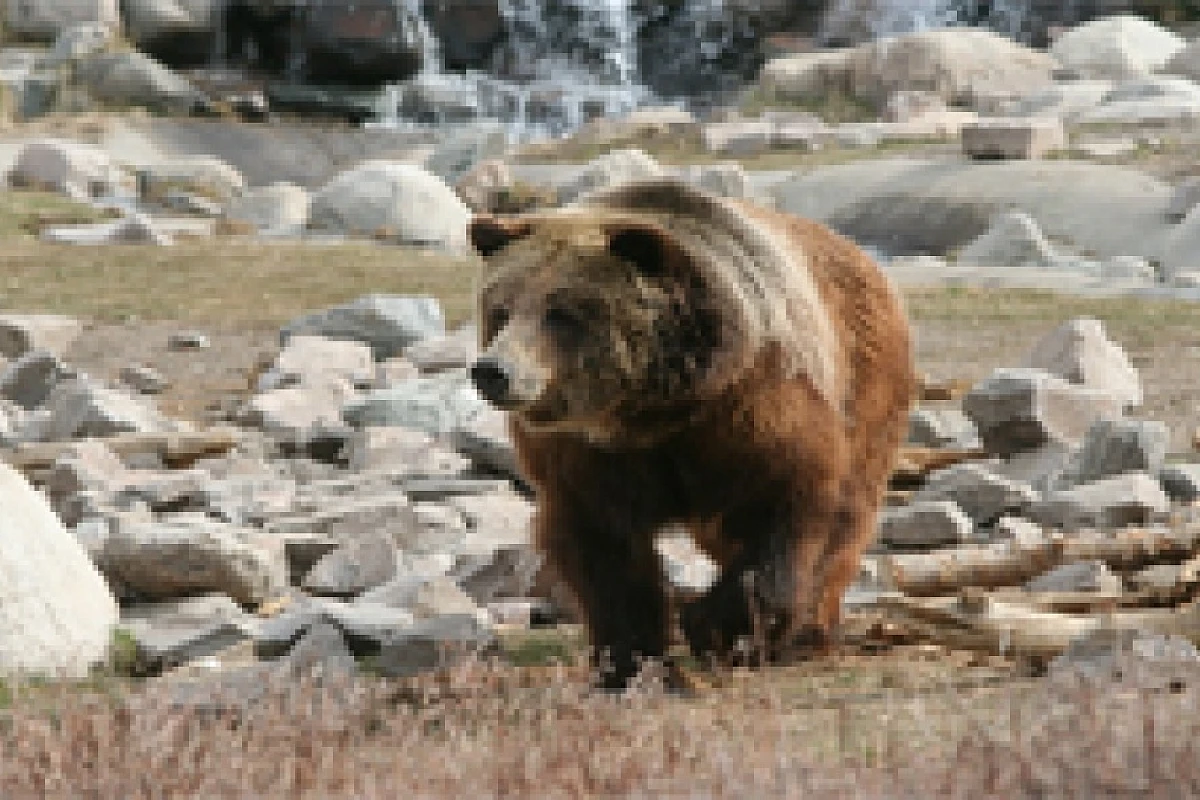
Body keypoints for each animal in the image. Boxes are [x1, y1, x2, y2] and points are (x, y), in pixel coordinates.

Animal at [465, 179, 907, 690]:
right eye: (500, 309)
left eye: (561, 313)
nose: (493, 371)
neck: (654, 411)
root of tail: (862, 258)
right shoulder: (586, 454)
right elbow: (603, 547)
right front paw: (631, 662)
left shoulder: (753, 406)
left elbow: (783, 505)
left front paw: (718, 630)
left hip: (864, 386)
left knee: (847, 512)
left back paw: (806, 635)